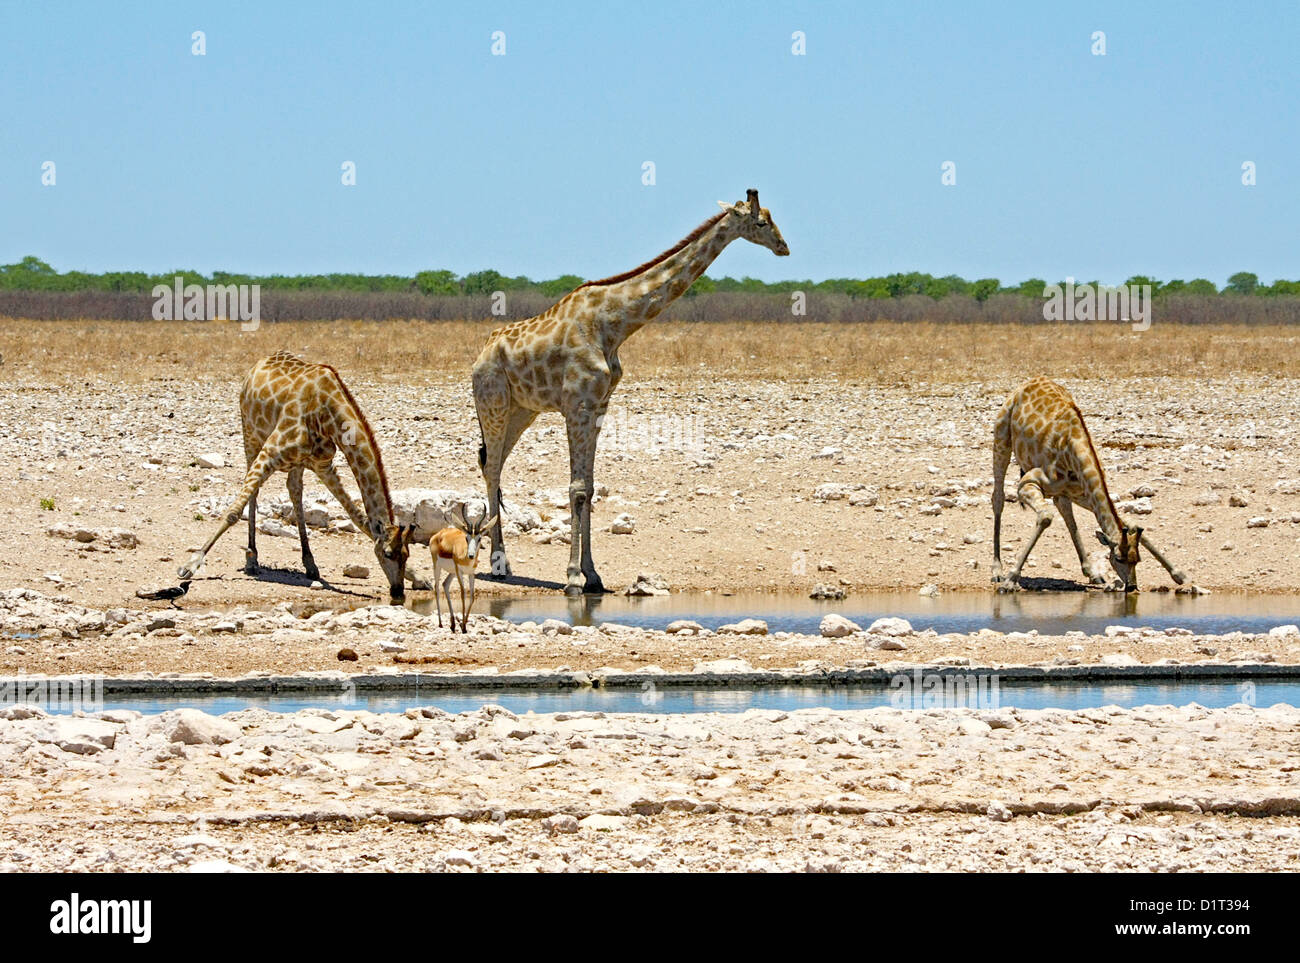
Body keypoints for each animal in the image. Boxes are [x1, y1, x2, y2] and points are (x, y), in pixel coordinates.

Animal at [175, 348, 413, 597]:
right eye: (387, 553)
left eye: (406, 555)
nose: (398, 591)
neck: (329, 416)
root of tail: (258, 364)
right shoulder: (270, 452)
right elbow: (233, 512)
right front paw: (190, 565)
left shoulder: (323, 465)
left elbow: (358, 518)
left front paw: (417, 576)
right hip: (250, 436)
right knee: (255, 492)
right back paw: (251, 559)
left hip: (296, 462)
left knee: (295, 492)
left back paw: (309, 563)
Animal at [473, 188, 785, 592]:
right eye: (760, 222)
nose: (784, 247)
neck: (613, 325)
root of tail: (480, 355)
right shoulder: (578, 405)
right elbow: (576, 488)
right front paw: (572, 576)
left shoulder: (599, 405)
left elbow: (589, 488)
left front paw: (592, 574)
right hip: (492, 404)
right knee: (492, 468)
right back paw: (499, 564)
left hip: (521, 410)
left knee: (492, 466)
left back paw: (503, 562)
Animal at [987, 376, 1185, 590]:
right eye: (1118, 558)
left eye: (1137, 559)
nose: (1132, 586)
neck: (1072, 448)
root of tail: (1025, 385)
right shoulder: (1027, 484)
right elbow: (1046, 517)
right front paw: (1010, 579)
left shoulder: (1083, 492)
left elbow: (1128, 521)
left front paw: (1178, 574)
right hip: (1001, 440)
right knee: (998, 498)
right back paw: (997, 571)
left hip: (1064, 494)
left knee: (1067, 514)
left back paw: (1092, 573)